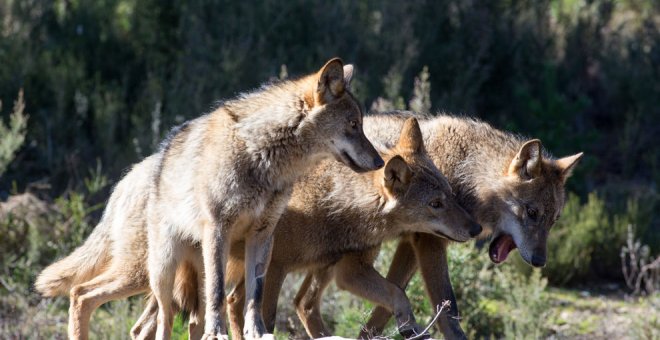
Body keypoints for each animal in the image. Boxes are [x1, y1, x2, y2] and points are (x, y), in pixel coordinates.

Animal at [36, 59, 384, 340]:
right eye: (354, 125)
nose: (380, 162)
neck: (262, 156)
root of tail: (128, 178)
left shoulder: (263, 236)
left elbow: (255, 294)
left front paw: (257, 332)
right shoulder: (219, 228)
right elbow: (219, 293)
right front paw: (218, 333)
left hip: (180, 273)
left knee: (171, 321)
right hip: (155, 272)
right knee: (92, 298)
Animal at [131, 117, 482, 340]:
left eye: (450, 194)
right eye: (435, 204)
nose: (476, 228)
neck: (333, 203)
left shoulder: (346, 270)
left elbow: (397, 293)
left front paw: (409, 327)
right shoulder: (276, 269)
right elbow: (268, 320)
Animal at [356, 111, 584, 338]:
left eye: (554, 220)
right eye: (532, 213)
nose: (539, 261)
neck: (465, 174)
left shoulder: (411, 244)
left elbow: (386, 304)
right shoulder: (430, 243)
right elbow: (448, 311)